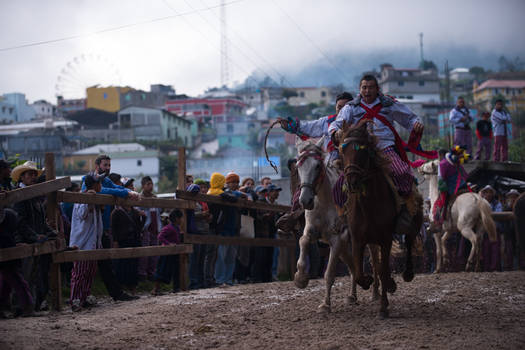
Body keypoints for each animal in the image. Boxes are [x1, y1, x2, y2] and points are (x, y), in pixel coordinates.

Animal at [294, 137, 376, 312]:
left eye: (317, 166)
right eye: (298, 166)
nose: (305, 200)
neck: (325, 203)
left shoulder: (337, 238)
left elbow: (329, 274)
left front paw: (325, 304)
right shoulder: (311, 230)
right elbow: (303, 240)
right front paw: (300, 278)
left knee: (375, 261)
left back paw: (376, 295)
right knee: (353, 264)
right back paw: (352, 296)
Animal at [336, 119, 422, 318]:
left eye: (362, 150)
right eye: (343, 151)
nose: (351, 180)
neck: (369, 205)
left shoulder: (386, 238)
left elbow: (383, 270)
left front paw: (383, 306)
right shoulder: (358, 240)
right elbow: (359, 272)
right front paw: (368, 282)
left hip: (414, 223)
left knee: (409, 241)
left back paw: (407, 273)